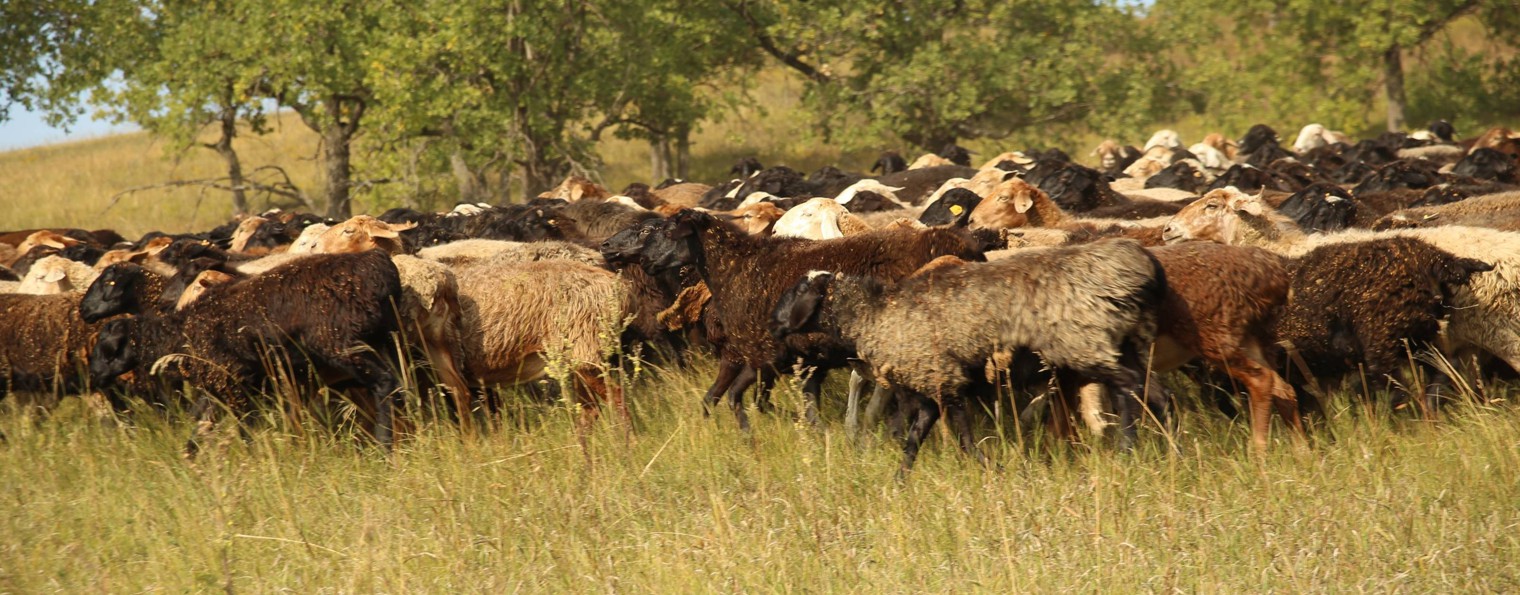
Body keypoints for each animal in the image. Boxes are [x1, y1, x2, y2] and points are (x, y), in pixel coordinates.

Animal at [766, 237, 1167, 471]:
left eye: (798, 290)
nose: (773, 324)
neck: (875, 315)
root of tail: (1141, 269)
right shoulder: (931, 392)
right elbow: (912, 441)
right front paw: (899, 482)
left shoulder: (947, 384)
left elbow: (963, 441)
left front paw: (998, 470)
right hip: (1126, 343)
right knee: (1154, 390)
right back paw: (1169, 447)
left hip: (1086, 345)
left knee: (1130, 387)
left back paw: (1129, 449)